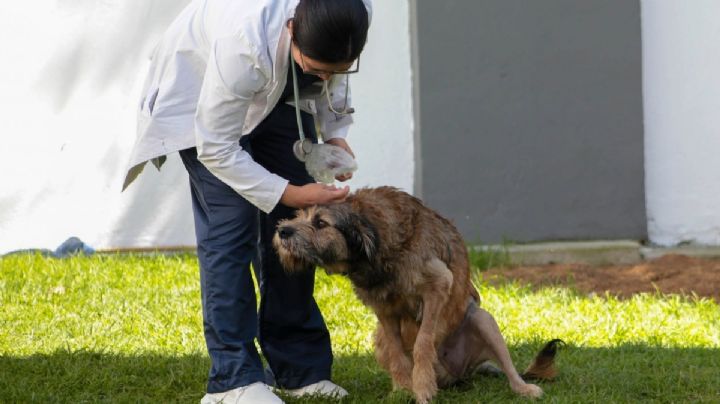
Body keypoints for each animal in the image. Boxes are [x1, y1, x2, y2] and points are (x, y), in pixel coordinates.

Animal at [272, 188, 560, 402]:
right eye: (299, 215)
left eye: (321, 223)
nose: (282, 231)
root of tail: (459, 373)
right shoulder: (383, 309)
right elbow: (398, 352)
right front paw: (402, 389)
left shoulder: (438, 287)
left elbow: (423, 342)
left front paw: (421, 387)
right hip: (377, 337)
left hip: (483, 319)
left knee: (509, 368)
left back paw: (524, 388)